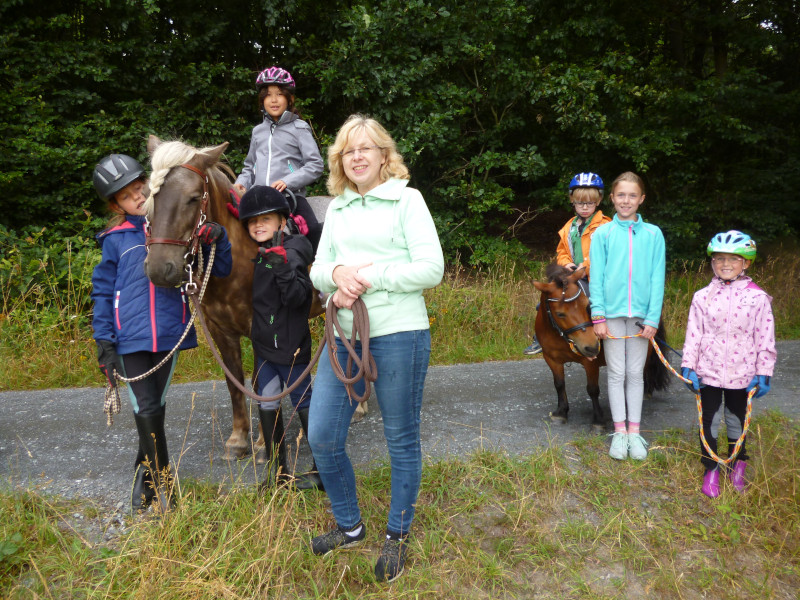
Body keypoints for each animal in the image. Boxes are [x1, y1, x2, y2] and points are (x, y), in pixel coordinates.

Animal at [142, 134, 340, 458]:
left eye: (193, 197)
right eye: (149, 194)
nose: (160, 268)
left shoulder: (259, 329)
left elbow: (261, 384)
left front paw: (261, 442)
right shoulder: (221, 332)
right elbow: (234, 382)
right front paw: (238, 439)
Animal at [536, 264, 672, 428]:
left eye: (587, 305)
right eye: (560, 314)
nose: (592, 346)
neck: (560, 335)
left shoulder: (590, 363)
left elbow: (592, 389)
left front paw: (598, 420)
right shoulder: (551, 359)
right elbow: (559, 384)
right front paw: (561, 412)